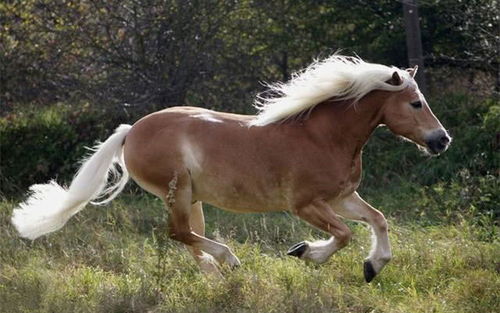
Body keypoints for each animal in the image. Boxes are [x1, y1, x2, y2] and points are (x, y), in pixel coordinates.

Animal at [12, 54, 450, 282]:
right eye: (415, 103)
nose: (441, 140)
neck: (323, 136)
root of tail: (130, 131)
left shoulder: (341, 197)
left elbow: (378, 220)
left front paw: (373, 266)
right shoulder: (306, 205)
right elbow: (343, 235)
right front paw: (306, 253)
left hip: (192, 199)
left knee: (187, 236)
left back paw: (215, 274)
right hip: (178, 192)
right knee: (177, 233)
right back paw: (230, 261)